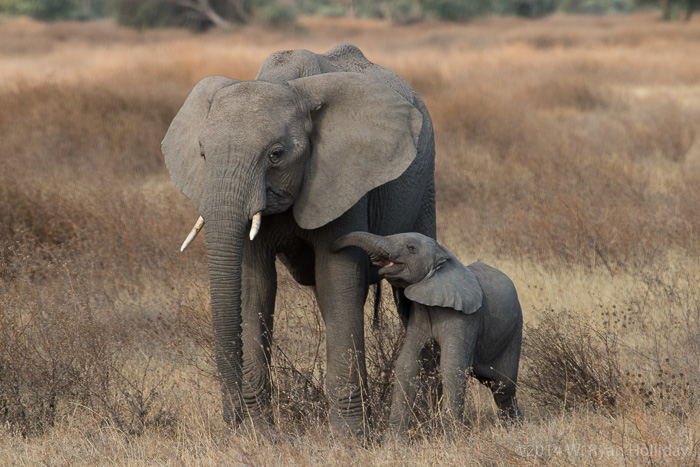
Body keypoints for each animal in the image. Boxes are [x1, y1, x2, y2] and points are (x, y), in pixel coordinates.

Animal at [161, 44, 436, 436]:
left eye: (276, 155)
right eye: (202, 153)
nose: (232, 421)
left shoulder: (341, 176)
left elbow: (338, 279)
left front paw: (350, 438)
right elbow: (253, 287)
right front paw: (260, 435)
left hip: (425, 185)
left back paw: (428, 417)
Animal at [332, 232, 523, 436]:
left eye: (411, 248)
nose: (334, 245)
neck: (443, 257)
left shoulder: (466, 319)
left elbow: (452, 366)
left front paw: (450, 436)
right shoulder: (420, 313)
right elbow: (407, 365)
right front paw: (393, 440)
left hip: (514, 330)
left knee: (504, 386)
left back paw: (515, 428)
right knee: (497, 385)